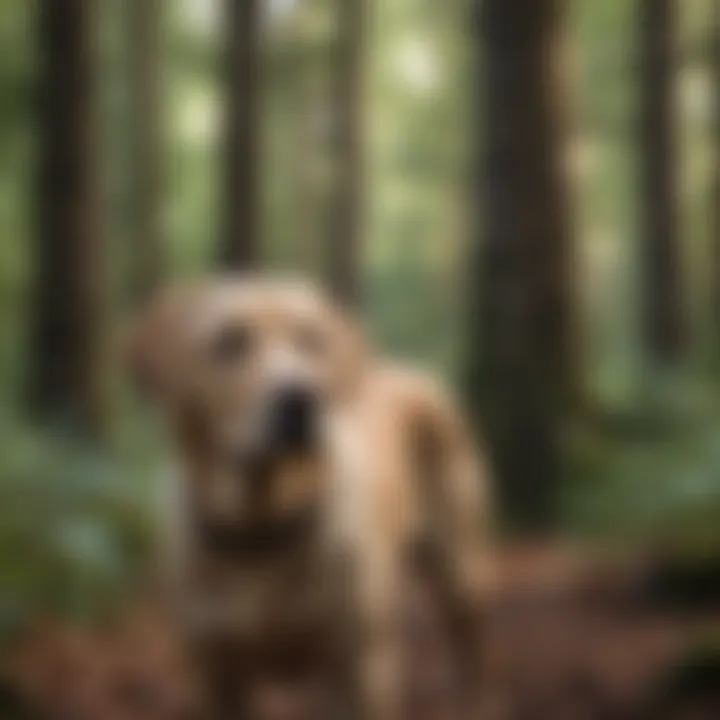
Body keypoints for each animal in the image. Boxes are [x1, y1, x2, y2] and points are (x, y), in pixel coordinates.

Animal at [126, 278, 492, 720]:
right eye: (228, 342)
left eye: (312, 340)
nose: (301, 399)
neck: (261, 524)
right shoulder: (216, 675)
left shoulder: (360, 666)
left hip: (459, 565)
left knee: (471, 638)